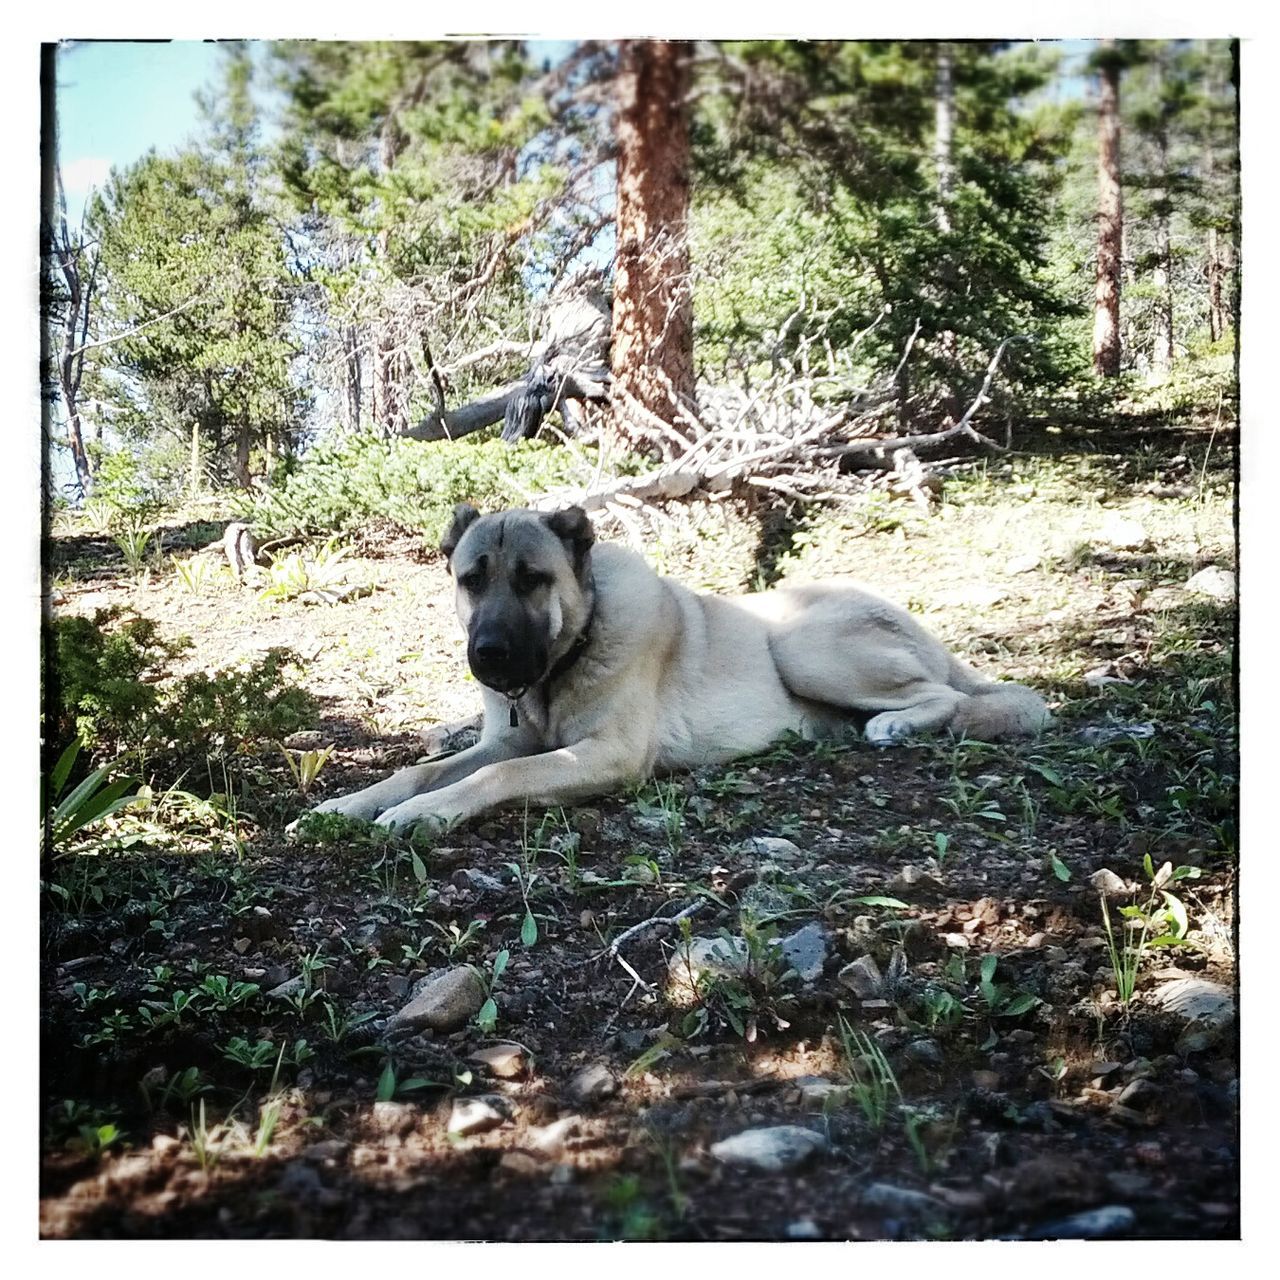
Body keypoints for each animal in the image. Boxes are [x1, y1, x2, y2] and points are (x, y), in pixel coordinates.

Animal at [312, 504, 1049, 834]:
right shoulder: (511, 737)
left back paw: (896, 726)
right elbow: (421, 769)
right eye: (472, 579)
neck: (569, 652)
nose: (488, 655)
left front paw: (422, 813)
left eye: (531, 580)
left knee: (942, 693)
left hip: (801, 645)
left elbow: (499, 775)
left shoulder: (605, 754)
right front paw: (350, 804)